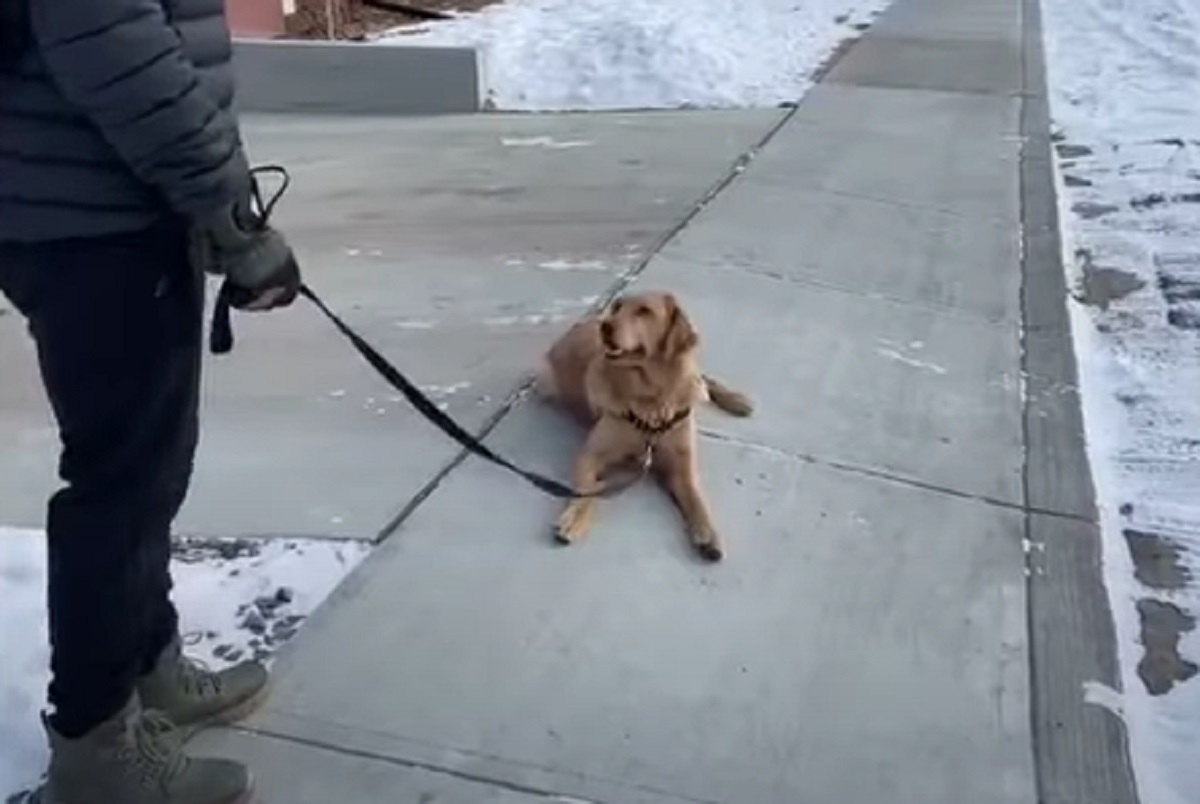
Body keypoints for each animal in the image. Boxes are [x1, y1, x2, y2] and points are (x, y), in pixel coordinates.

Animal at [540, 290, 753, 561]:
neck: (651, 398)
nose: (605, 326)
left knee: (703, 379)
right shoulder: (590, 455)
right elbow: (588, 491)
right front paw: (575, 518)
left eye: (644, 311)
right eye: (617, 307)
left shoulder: (683, 467)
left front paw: (709, 533)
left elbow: (697, 500)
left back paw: (737, 400)